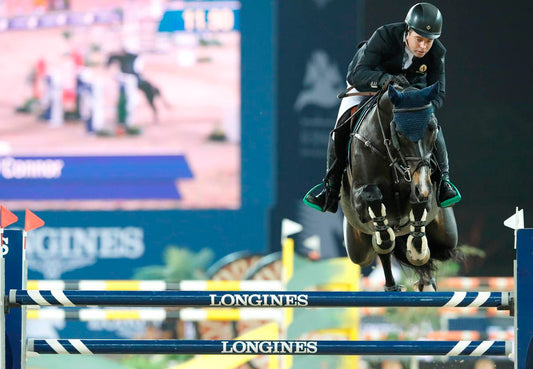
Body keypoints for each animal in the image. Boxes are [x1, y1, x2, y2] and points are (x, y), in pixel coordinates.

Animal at [340, 82, 458, 290]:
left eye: (432, 129)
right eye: (400, 132)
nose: (422, 186)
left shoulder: (424, 189)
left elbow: (418, 205)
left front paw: (417, 250)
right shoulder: (359, 199)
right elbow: (373, 197)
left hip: (447, 237)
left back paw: (426, 282)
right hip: (358, 248)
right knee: (379, 248)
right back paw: (392, 285)